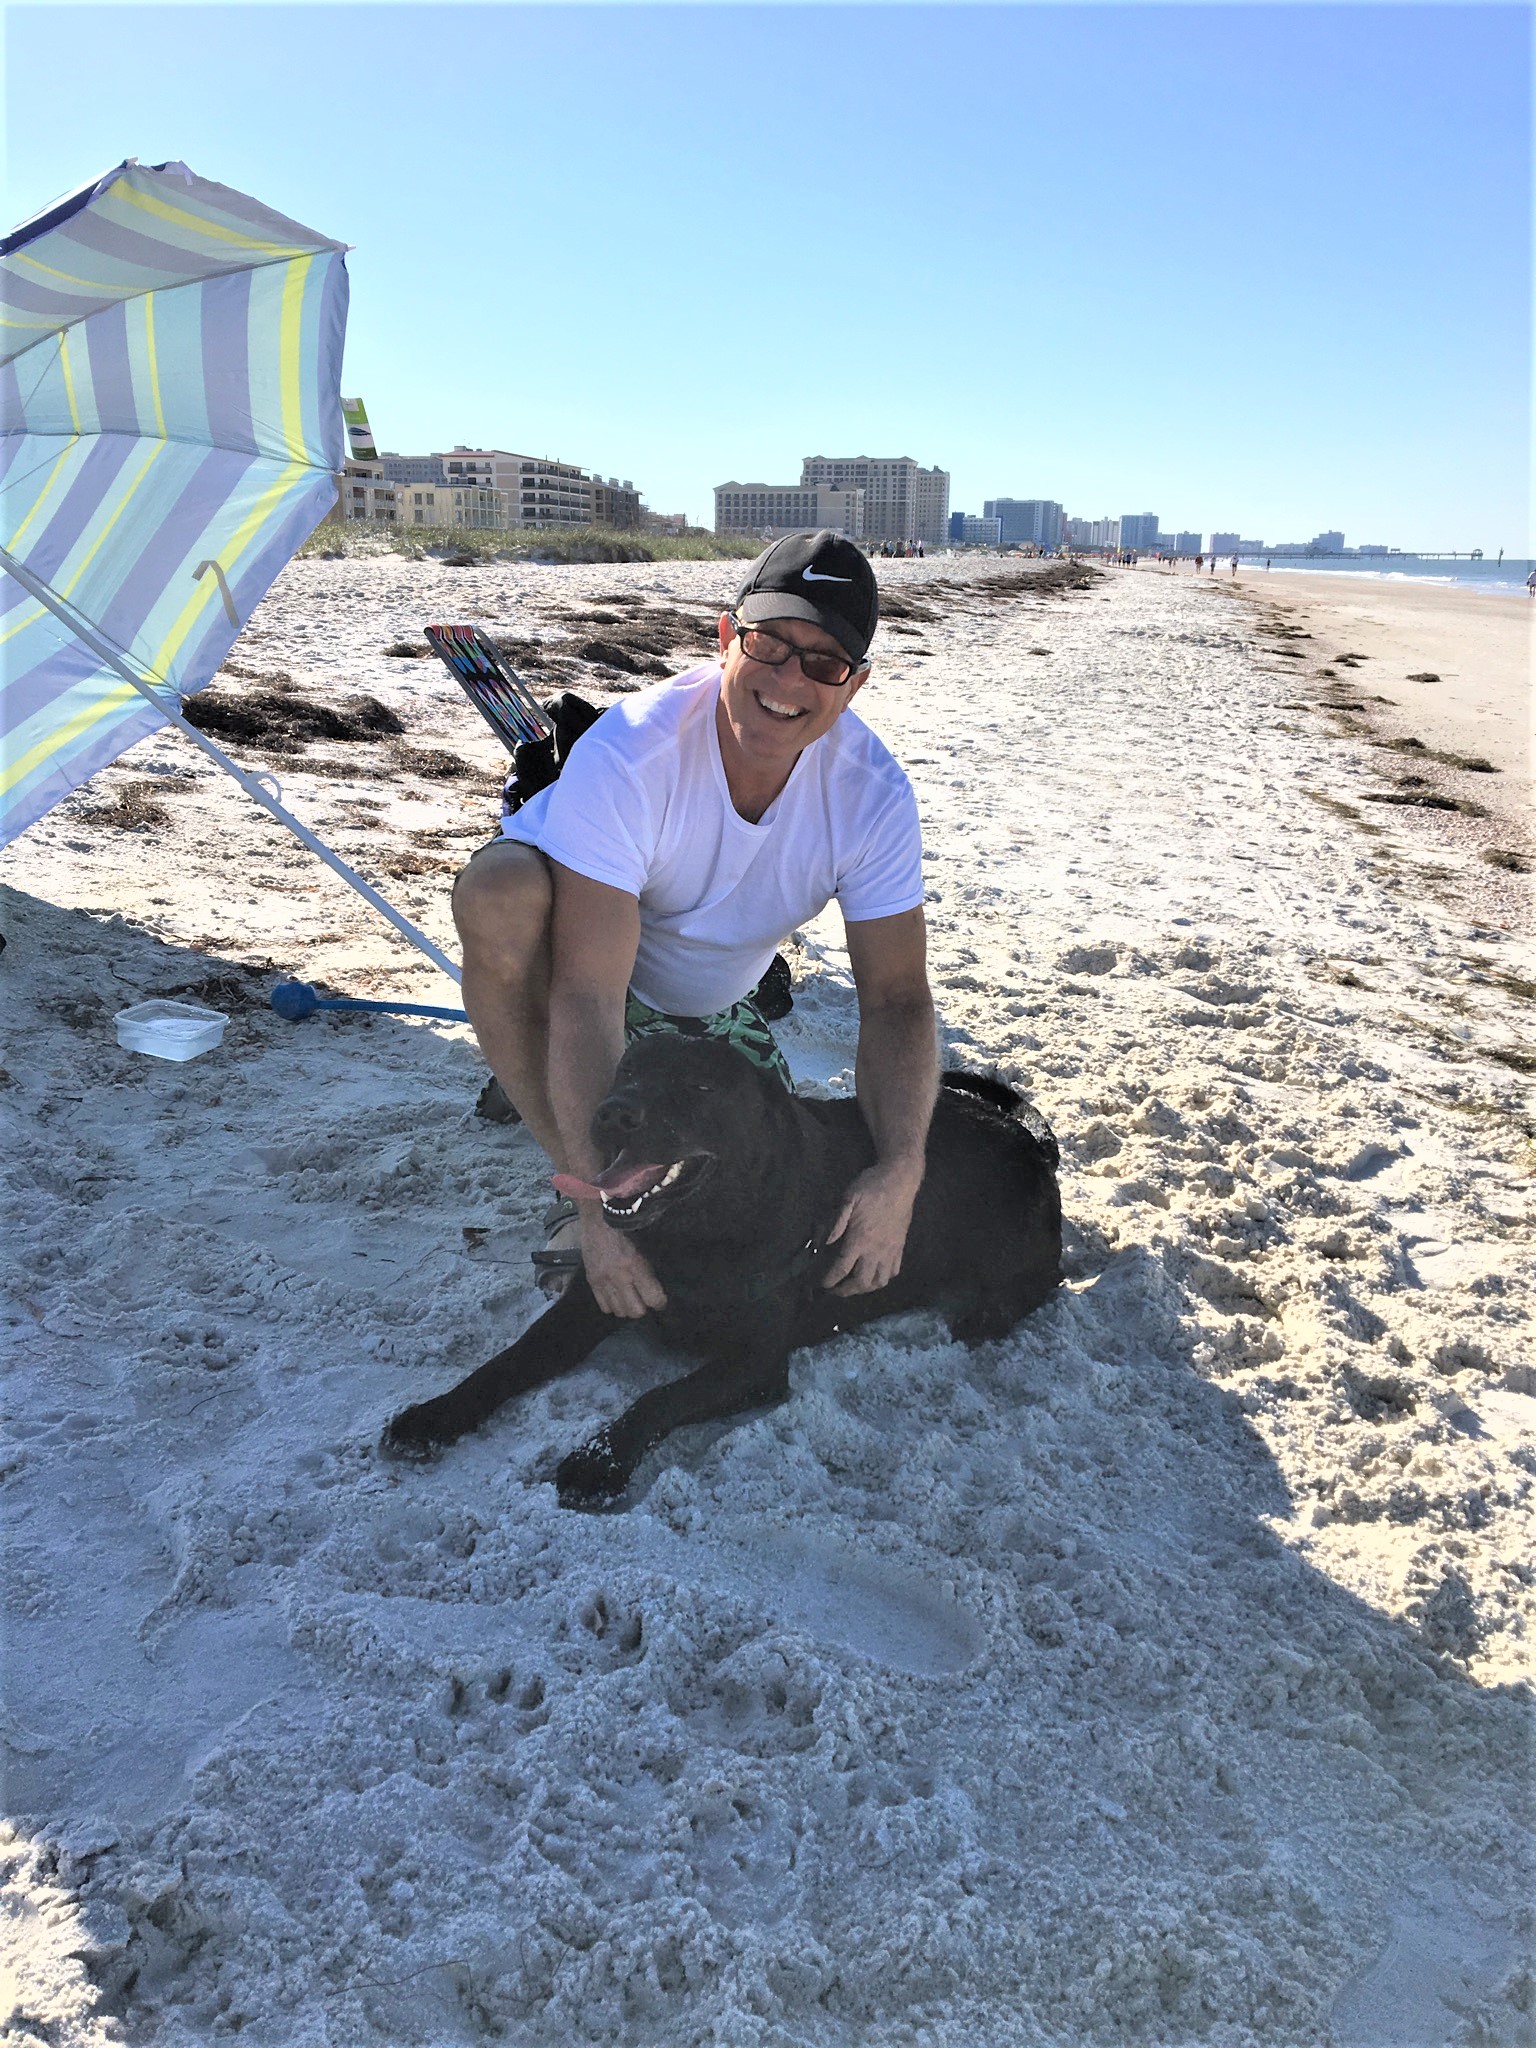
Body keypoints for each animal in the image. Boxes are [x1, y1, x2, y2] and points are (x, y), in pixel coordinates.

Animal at [380, 1040, 1064, 1507]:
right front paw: (436, 1415)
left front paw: (598, 1462)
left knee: (1040, 1282)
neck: (701, 1231)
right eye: (628, 1070)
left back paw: (984, 1314)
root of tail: (1028, 1136)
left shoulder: (755, 1363)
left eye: (701, 1087)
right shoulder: (590, 1305)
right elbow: (511, 1360)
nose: (613, 1113)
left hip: (1020, 1249)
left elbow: (661, 1396)